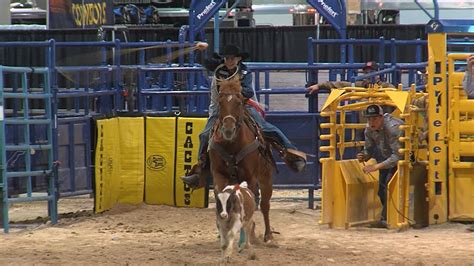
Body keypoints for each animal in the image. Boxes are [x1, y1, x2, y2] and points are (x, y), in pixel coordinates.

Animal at [207, 78, 274, 242]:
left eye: (238, 102)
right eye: (220, 102)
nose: (228, 130)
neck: (232, 145)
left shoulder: (250, 177)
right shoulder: (218, 174)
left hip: (266, 177)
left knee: (264, 205)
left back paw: (267, 235)